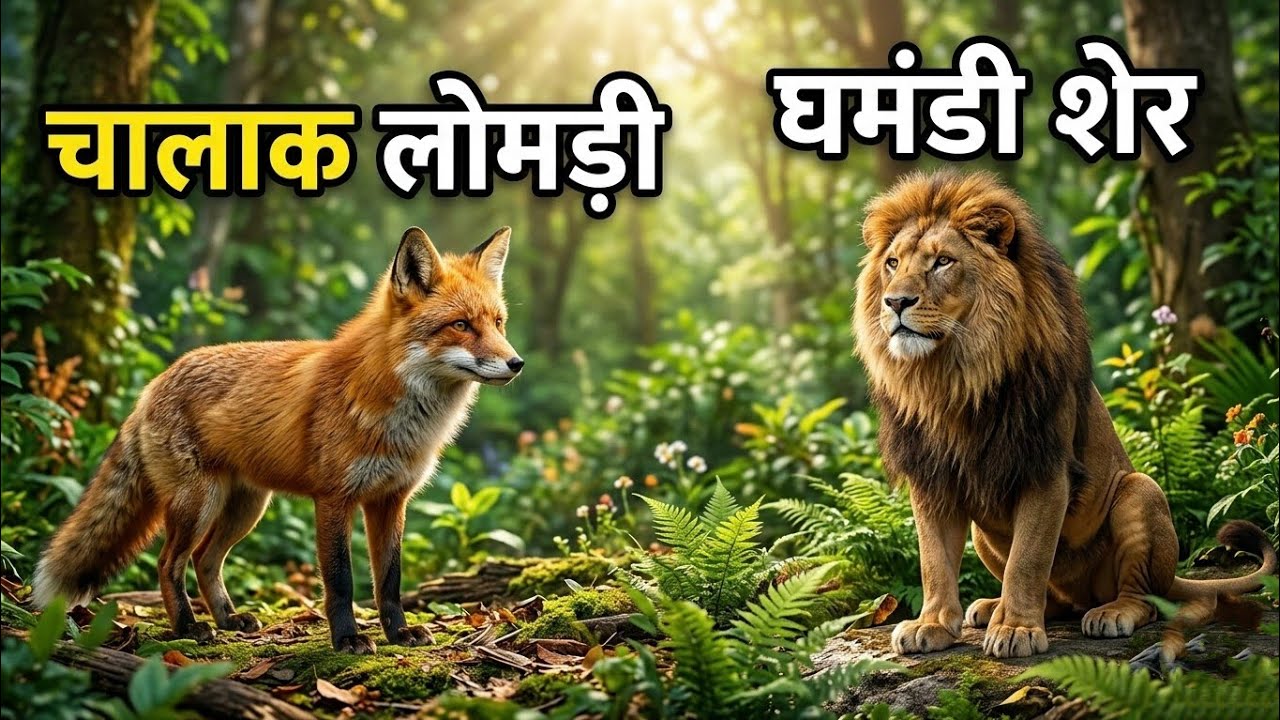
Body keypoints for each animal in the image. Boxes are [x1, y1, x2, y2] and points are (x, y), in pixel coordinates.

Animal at [31, 225, 523, 653]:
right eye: (461, 325)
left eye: (498, 323)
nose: (516, 363)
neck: (397, 415)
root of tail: (154, 383)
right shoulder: (334, 498)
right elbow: (341, 582)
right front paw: (347, 639)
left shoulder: (391, 500)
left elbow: (390, 579)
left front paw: (399, 633)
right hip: (199, 503)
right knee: (168, 562)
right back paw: (190, 628)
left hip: (245, 508)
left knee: (205, 560)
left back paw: (229, 619)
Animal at [851, 170, 1277, 659]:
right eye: (892, 263)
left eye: (942, 262)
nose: (895, 302)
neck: (954, 378)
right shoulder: (931, 477)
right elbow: (933, 561)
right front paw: (933, 624)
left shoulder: (1045, 467)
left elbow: (1029, 559)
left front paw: (1016, 630)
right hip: (985, 535)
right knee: (1055, 596)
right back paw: (991, 608)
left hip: (1140, 491)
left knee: (1145, 599)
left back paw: (1108, 613)